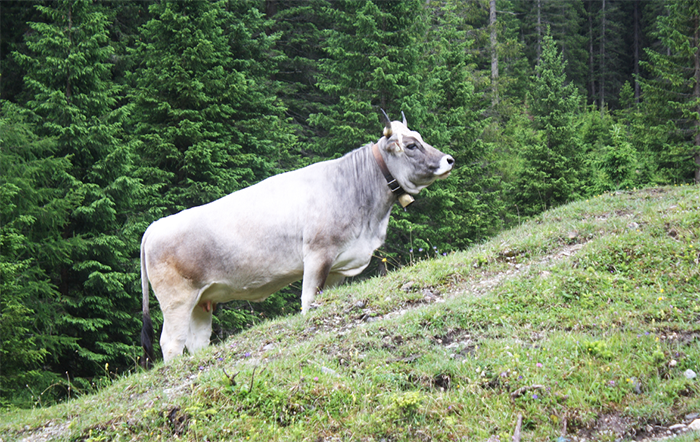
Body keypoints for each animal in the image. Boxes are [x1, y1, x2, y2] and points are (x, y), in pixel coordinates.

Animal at [140, 111, 456, 362]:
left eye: (420, 137)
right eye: (412, 145)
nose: (449, 159)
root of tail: (156, 225)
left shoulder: (338, 266)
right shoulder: (317, 254)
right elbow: (308, 301)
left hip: (202, 300)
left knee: (197, 342)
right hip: (177, 300)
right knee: (171, 342)